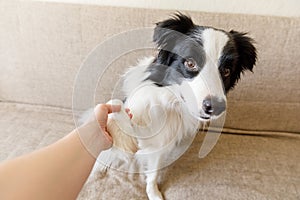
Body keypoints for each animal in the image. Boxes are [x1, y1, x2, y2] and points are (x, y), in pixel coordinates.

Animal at [97, 13, 256, 199]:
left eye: (226, 71)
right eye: (190, 63)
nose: (216, 107)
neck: (171, 102)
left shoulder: (162, 142)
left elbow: (154, 171)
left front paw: (153, 193)